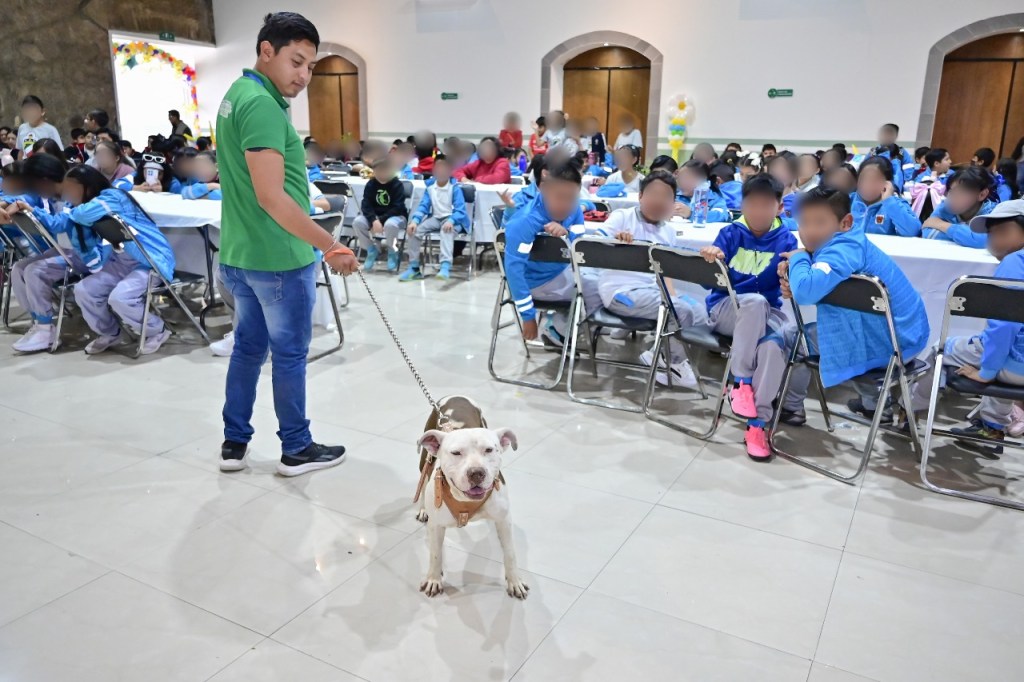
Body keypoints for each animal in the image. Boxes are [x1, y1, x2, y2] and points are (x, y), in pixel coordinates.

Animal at [415, 395, 528, 599]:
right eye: (456, 452)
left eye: (489, 450)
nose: (476, 473)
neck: (465, 501)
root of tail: (456, 395)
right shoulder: (436, 526)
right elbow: (435, 553)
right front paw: (434, 579)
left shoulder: (504, 520)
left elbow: (510, 553)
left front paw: (515, 581)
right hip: (425, 457)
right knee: (424, 478)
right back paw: (422, 509)